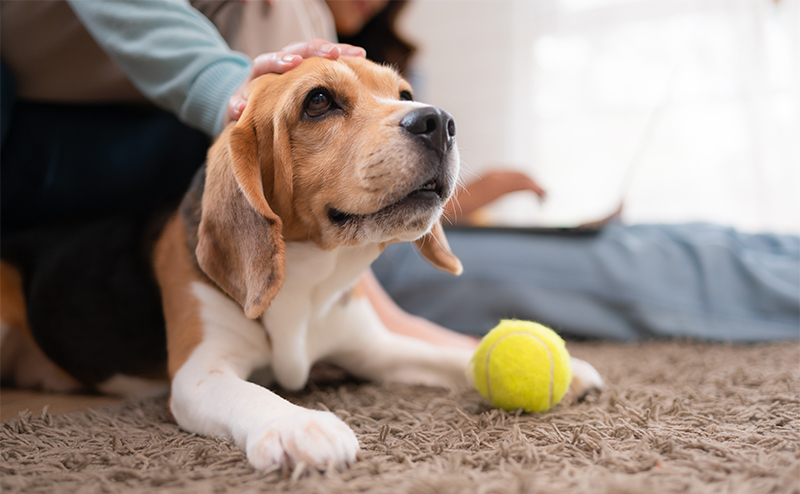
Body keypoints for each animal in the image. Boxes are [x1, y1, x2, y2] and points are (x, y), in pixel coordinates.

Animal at [0, 57, 600, 470]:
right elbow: (253, 392)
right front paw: (300, 426)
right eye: (318, 102)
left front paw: (569, 371)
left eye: (404, 94)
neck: (311, 278)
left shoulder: (373, 350)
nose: (439, 121)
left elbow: (447, 355)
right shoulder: (199, 373)